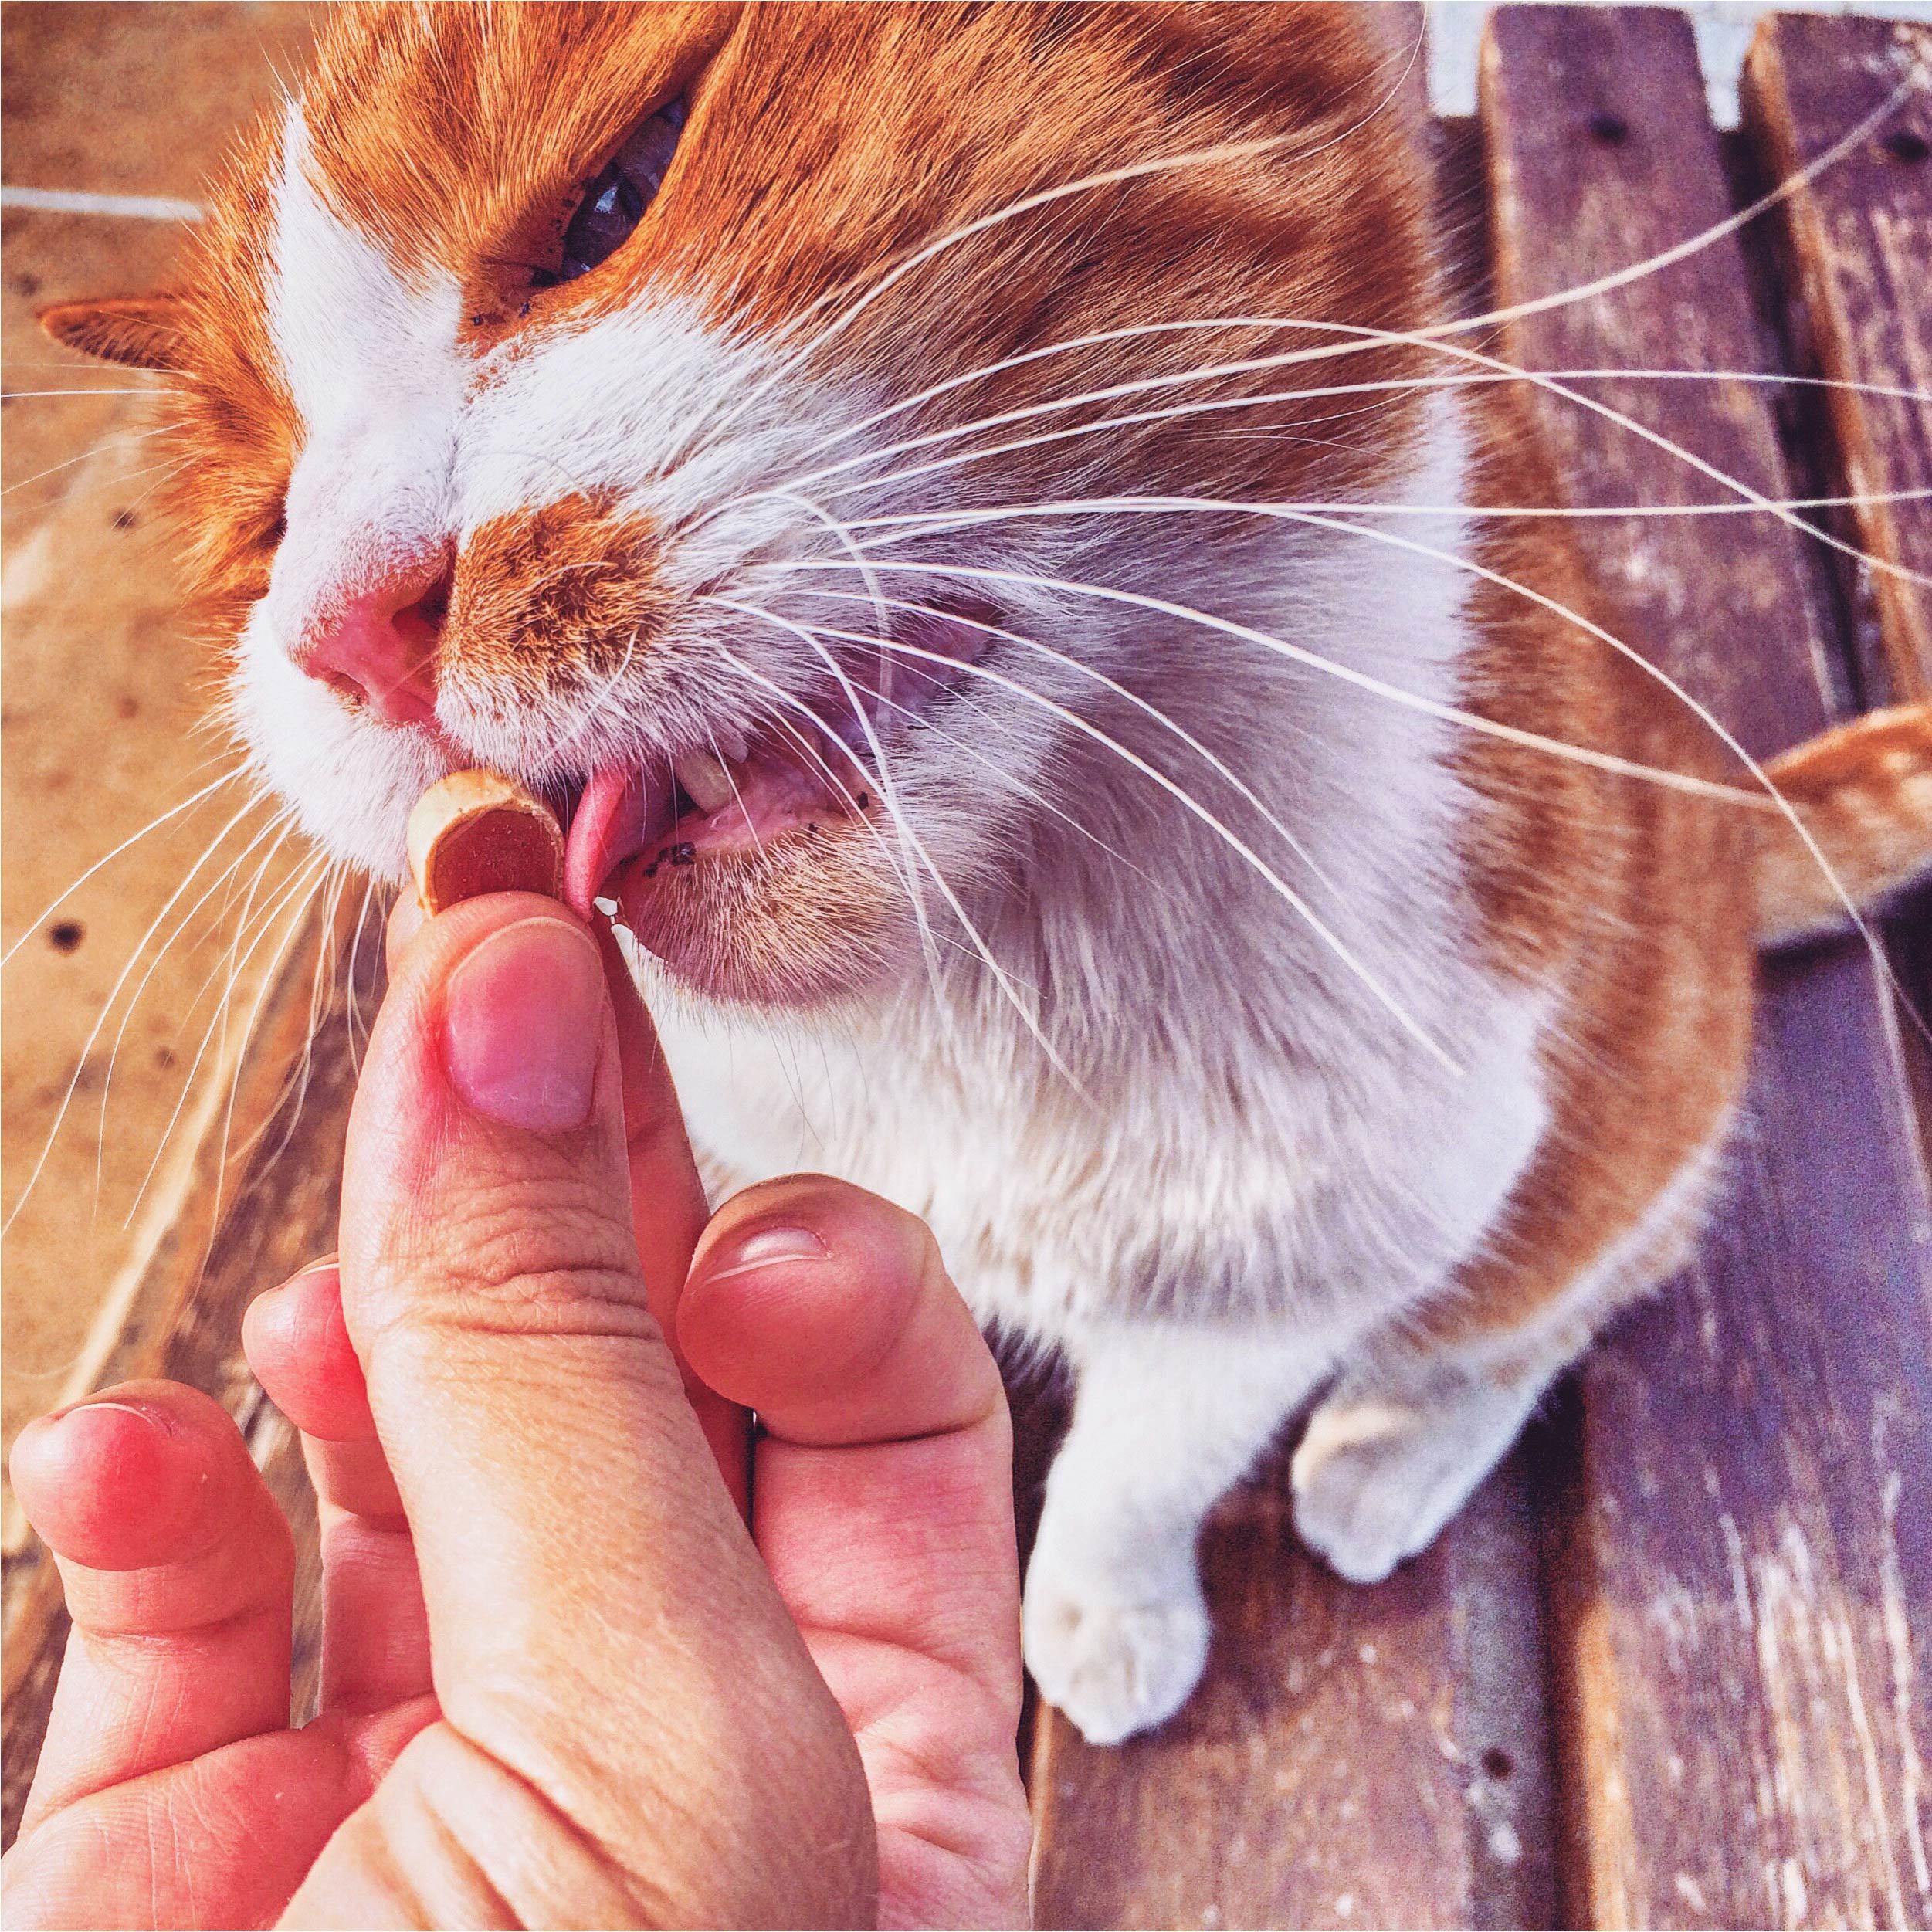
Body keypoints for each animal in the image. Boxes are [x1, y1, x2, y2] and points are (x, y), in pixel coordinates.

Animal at [45, 3, 1932, 1754]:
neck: (981, 1007)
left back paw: (1390, 1451)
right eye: (263, 529)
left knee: (1562, 1288)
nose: (343, 626)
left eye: (621, 189)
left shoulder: (1315, 1252)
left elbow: (1147, 1462)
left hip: (1601, 1124)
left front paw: (1103, 1606)